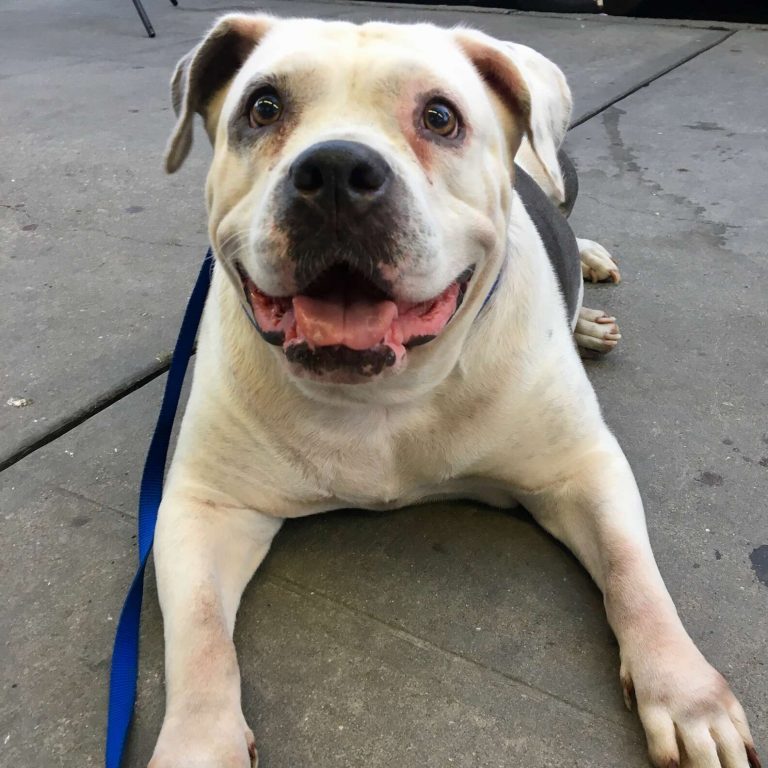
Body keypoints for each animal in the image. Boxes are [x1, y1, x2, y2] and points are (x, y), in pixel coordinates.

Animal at [147, 13, 760, 768]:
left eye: (440, 117)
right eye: (262, 108)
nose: (337, 172)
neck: (385, 396)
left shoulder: (582, 470)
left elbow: (632, 575)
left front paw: (685, 693)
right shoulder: (205, 506)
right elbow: (201, 638)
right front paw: (198, 744)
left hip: (561, 175)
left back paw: (587, 288)